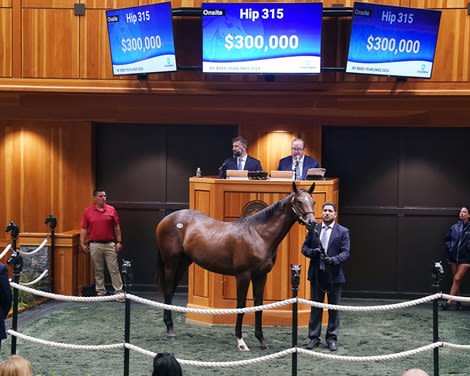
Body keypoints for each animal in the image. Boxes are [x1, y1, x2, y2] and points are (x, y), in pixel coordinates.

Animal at [155, 181, 316, 352]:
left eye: (313, 201)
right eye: (299, 201)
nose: (312, 223)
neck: (258, 235)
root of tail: (167, 219)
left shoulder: (261, 275)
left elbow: (258, 305)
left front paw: (261, 340)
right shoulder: (243, 275)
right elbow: (241, 305)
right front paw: (240, 341)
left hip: (183, 264)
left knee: (170, 292)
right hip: (171, 264)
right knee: (168, 291)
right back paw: (170, 331)